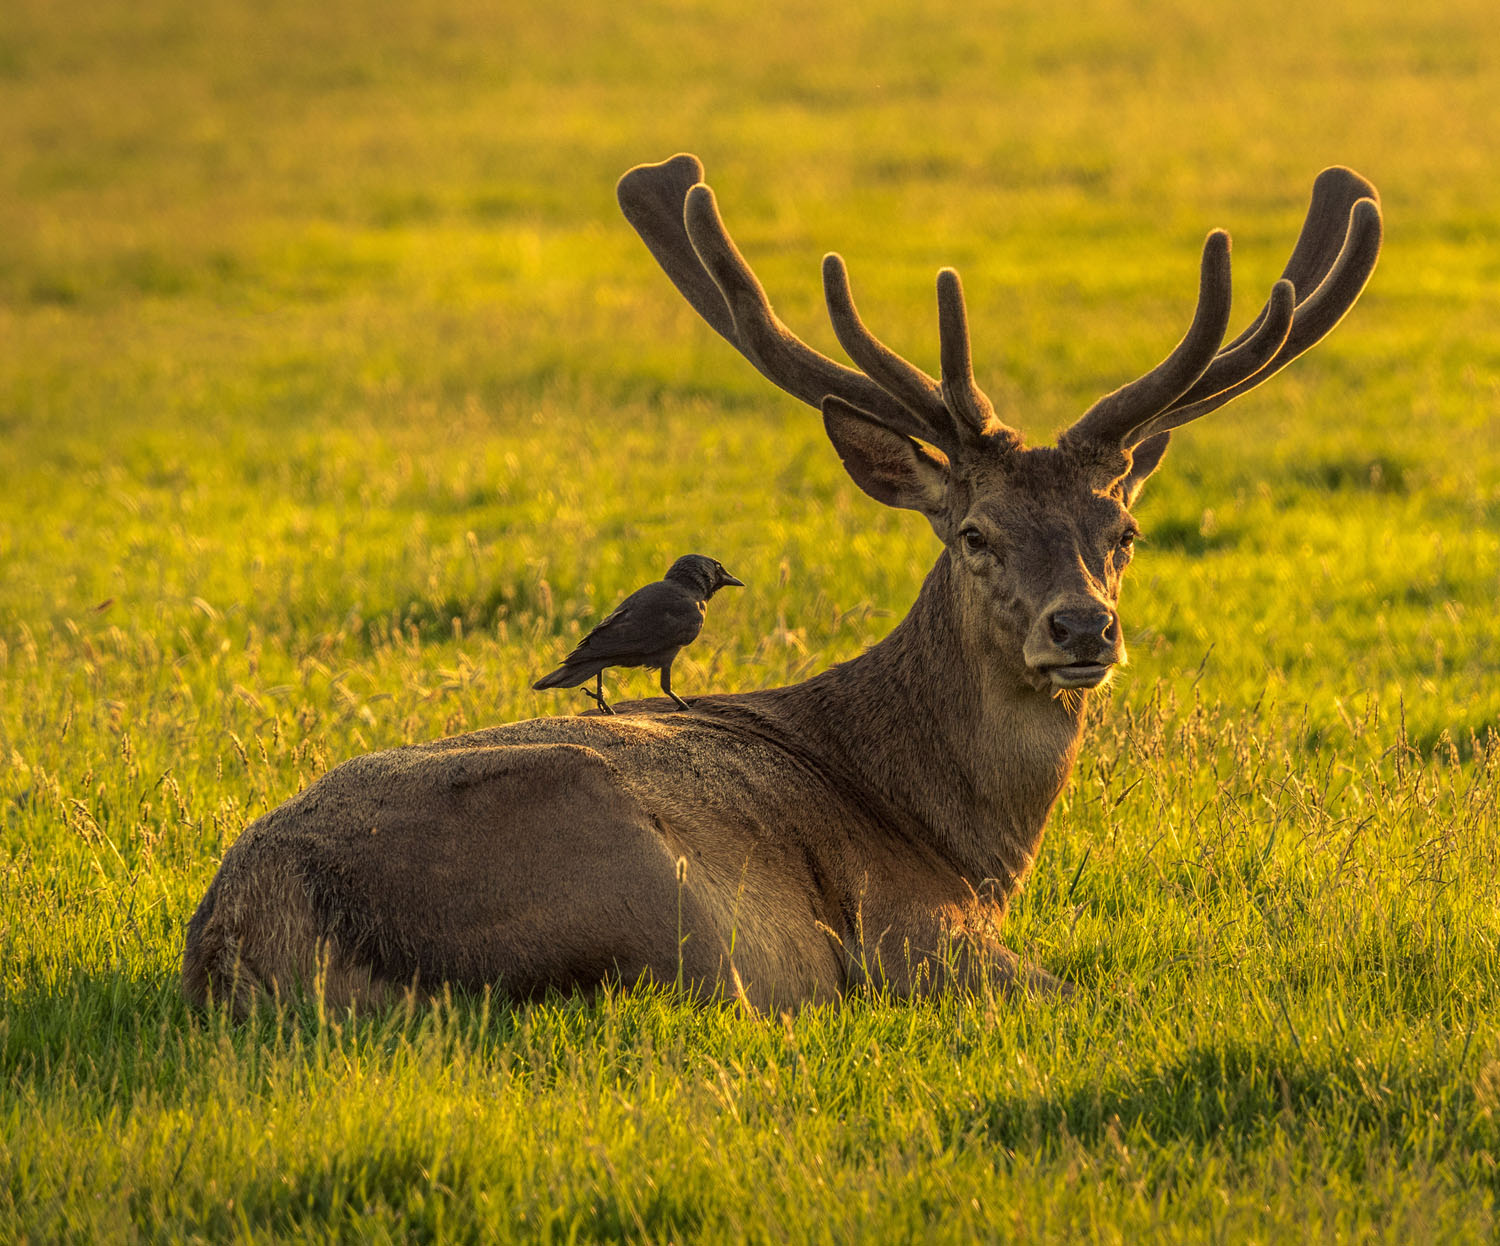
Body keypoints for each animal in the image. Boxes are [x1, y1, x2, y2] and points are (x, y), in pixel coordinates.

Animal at [182, 154, 1381, 1016]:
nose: (1082, 626)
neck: (967, 842)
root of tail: (243, 935)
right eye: (977, 534)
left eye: (1121, 529)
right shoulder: (922, 930)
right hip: (681, 919)